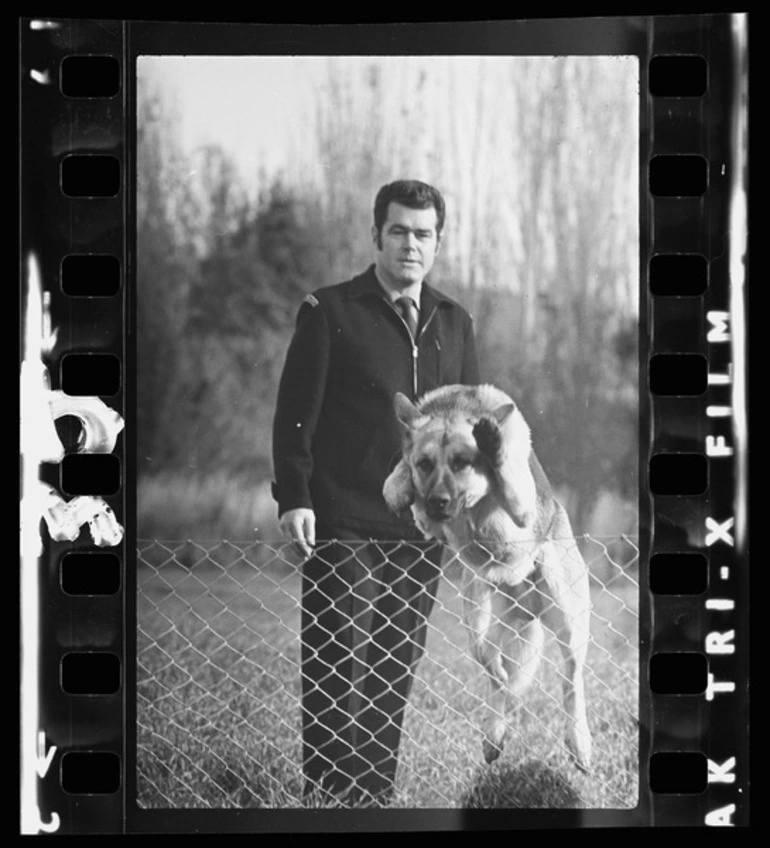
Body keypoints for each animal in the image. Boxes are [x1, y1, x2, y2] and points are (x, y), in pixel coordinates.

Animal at [380, 388, 592, 772]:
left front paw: (494, 449)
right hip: (477, 614)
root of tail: (529, 608)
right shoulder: (426, 517)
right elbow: (398, 483)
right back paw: (493, 733)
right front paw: (399, 485)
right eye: (425, 464)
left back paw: (579, 741)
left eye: (463, 462)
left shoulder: (519, 514)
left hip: (568, 619)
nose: (438, 502)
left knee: (571, 679)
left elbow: (510, 485)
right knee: (495, 673)